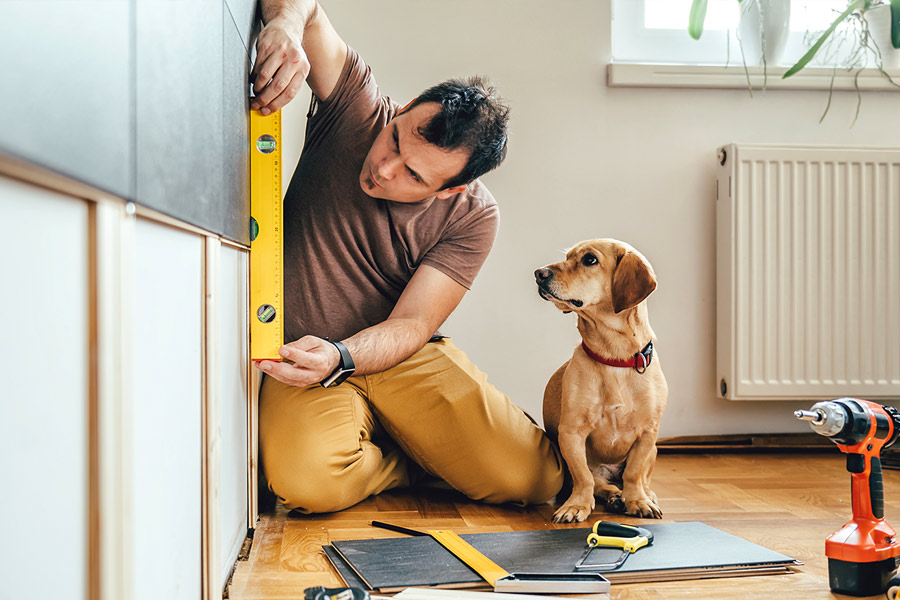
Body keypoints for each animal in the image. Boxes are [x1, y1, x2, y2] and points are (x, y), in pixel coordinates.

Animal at [536, 238, 668, 520]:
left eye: (589, 260)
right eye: (568, 257)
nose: (539, 273)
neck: (614, 358)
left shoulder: (648, 434)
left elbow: (634, 473)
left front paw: (637, 501)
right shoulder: (571, 433)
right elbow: (584, 477)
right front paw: (576, 505)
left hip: (653, 450)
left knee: (641, 479)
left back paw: (642, 495)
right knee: (599, 483)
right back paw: (614, 496)